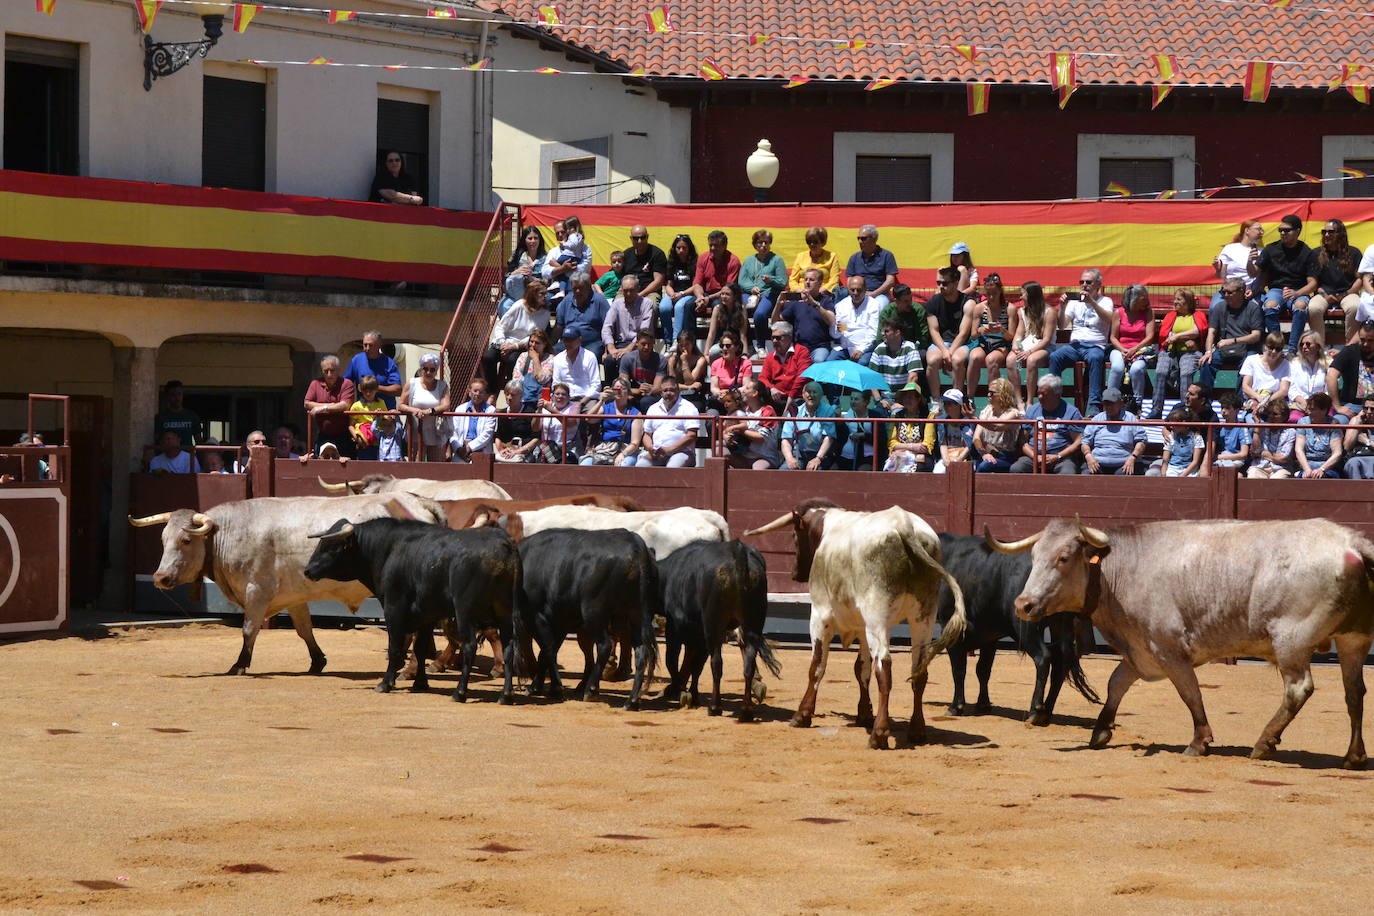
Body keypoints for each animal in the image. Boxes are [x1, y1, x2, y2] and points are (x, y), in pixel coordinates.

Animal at [129, 491, 445, 678]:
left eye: (185, 540)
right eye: (163, 539)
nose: (160, 578)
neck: (226, 533)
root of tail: (417, 500)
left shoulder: (257, 591)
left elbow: (249, 629)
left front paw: (239, 664)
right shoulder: (294, 597)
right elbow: (304, 630)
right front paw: (317, 662)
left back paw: (409, 668)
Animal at [752, 502, 967, 752]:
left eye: (795, 536)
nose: (795, 573)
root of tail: (904, 525)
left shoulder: (819, 616)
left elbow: (817, 666)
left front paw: (802, 715)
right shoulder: (863, 628)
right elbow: (861, 669)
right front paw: (864, 714)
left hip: (878, 616)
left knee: (884, 668)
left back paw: (879, 735)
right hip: (923, 617)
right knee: (918, 670)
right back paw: (917, 730)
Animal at [989, 516, 1374, 769]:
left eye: (1064, 558)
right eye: (1034, 557)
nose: (1023, 605)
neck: (1122, 568)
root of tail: (1350, 542)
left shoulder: (1169, 650)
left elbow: (1190, 693)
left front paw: (1199, 742)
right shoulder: (1139, 651)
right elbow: (1116, 684)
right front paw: (1100, 731)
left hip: (1291, 642)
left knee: (1298, 689)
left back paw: (1264, 744)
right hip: (1353, 640)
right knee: (1354, 692)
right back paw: (1353, 756)